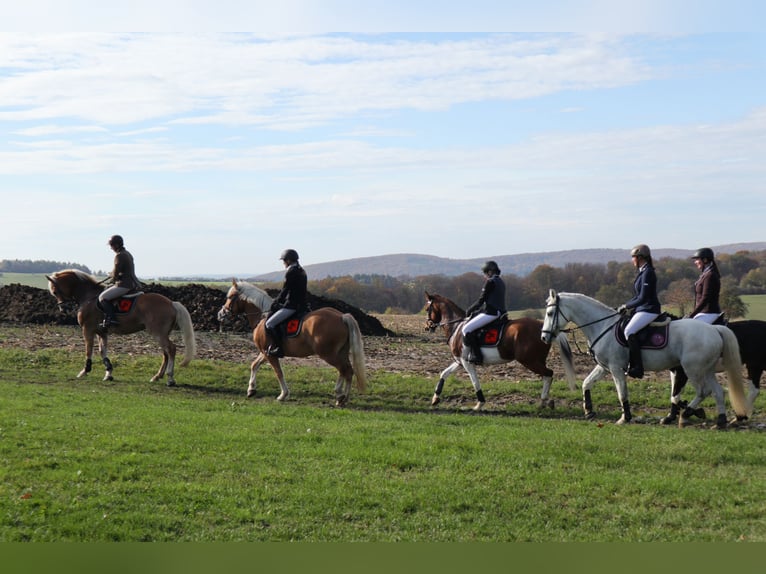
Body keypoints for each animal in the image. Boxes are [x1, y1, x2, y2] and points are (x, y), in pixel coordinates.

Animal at [46, 270, 196, 388]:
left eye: (55, 291)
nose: (63, 309)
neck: (89, 297)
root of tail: (171, 303)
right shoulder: (102, 332)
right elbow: (102, 352)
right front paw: (108, 374)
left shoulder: (87, 329)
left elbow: (88, 350)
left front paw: (84, 371)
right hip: (161, 334)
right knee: (166, 353)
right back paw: (157, 376)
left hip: (158, 333)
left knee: (171, 349)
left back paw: (170, 378)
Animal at [218, 282, 370, 408]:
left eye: (230, 297)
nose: (220, 314)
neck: (262, 318)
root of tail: (341, 316)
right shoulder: (265, 352)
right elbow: (254, 365)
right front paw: (251, 390)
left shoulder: (269, 354)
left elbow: (278, 372)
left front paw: (283, 395)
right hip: (340, 353)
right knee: (346, 371)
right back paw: (341, 397)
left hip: (329, 354)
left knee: (345, 370)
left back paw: (342, 397)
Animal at [424, 294, 580, 412]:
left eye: (427, 309)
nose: (427, 327)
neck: (456, 326)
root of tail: (543, 328)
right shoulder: (459, 361)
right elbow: (444, 373)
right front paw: (435, 399)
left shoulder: (466, 363)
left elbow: (475, 382)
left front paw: (479, 404)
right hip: (537, 360)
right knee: (546, 375)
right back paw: (546, 401)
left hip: (529, 360)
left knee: (549, 373)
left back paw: (543, 401)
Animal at [544, 290, 752, 430]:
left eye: (549, 313)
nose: (544, 337)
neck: (603, 326)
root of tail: (714, 329)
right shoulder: (604, 367)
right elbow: (586, 383)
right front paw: (588, 411)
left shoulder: (616, 368)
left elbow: (622, 393)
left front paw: (625, 417)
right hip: (706, 370)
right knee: (717, 391)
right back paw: (720, 421)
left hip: (692, 369)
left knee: (704, 391)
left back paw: (687, 414)